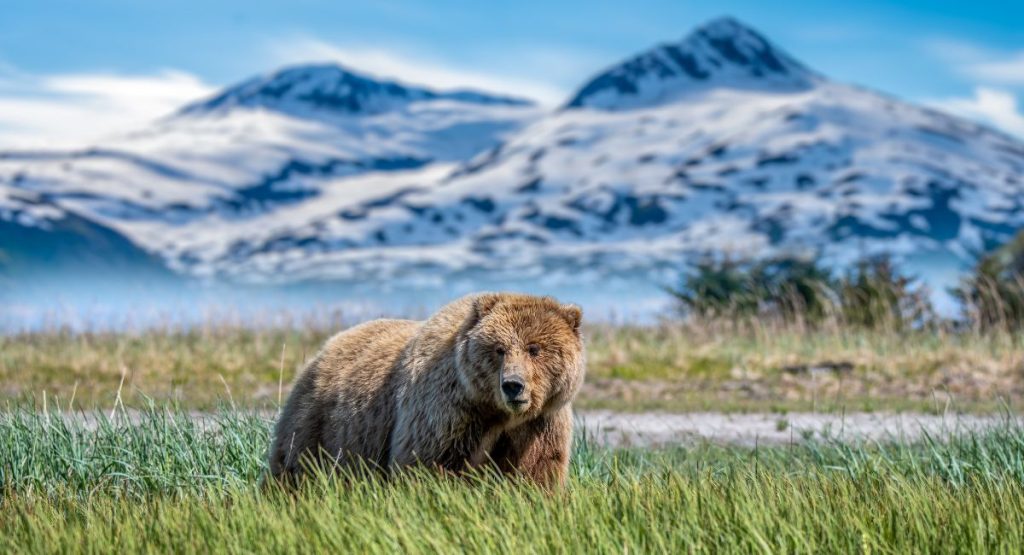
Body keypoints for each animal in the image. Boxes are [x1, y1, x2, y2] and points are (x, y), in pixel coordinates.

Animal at [264, 292, 585, 489]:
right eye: (499, 349)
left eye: (535, 349)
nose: (513, 385)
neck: (495, 413)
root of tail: (325, 347)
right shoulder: (446, 411)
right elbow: (427, 464)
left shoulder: (540, 423)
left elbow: (535, 471)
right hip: (322, 424)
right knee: (294, 466)